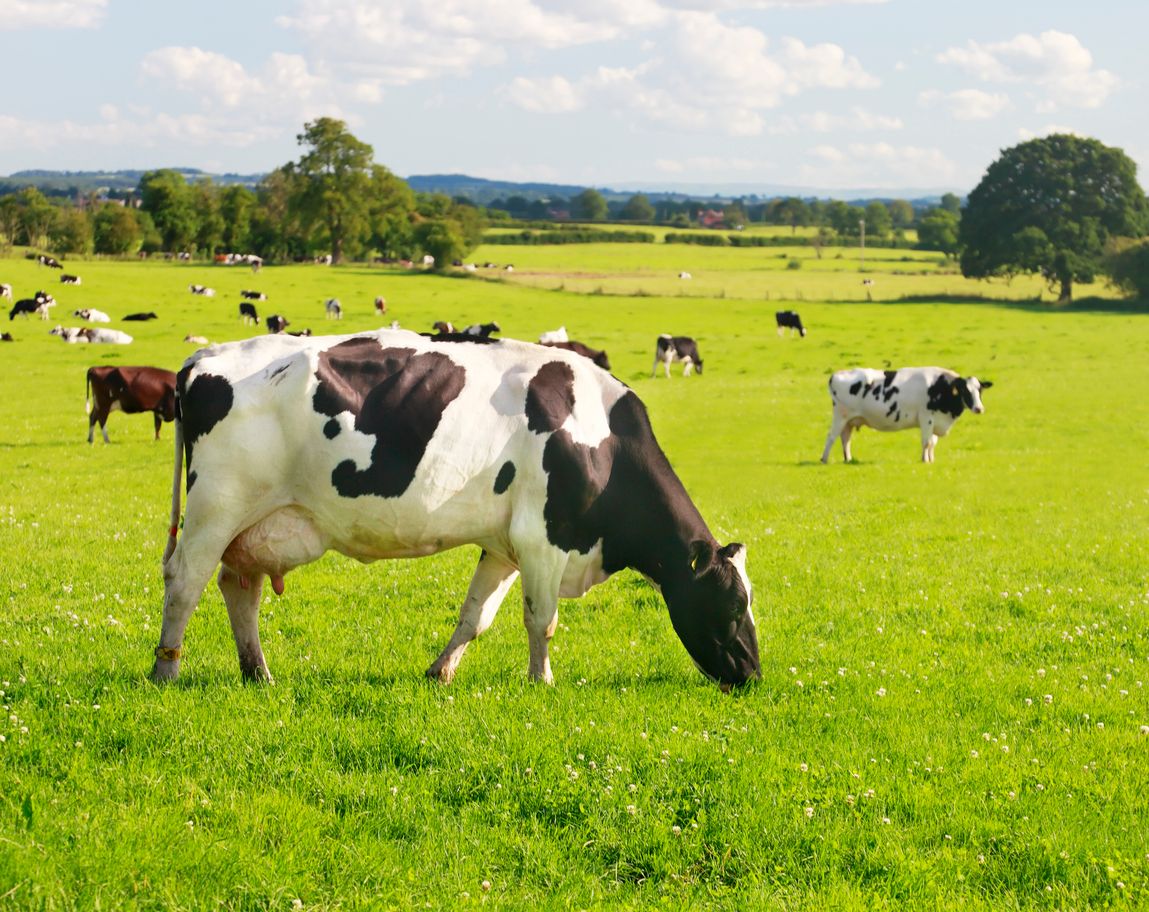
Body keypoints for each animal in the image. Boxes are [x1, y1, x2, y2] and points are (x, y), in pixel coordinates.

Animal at [151, 331, 759, 690]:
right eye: (731, 607)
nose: (753, 673)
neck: (598, 434)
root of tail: (204, 357)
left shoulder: (504, 546)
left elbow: (476, 616)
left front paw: (440, 672)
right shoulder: (544, 538)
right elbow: (542, 619)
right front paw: (542, 681)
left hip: (255, 523)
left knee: (238, 588)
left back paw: (258, 672)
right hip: (216, 508)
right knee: (185, 582)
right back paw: (166, 667)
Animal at [821, 367, 993, 464]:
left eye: (980, 390)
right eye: (965, 390)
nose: (979, 408)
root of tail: (836, 374)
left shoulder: (935, 421)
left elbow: (933, 442)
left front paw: (931, 459)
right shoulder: (926, 418)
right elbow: (926, 442)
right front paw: (925, 460)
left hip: (849, 420)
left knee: (845, 439)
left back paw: (848, 459)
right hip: (840, 416)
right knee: (831, 437)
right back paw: (824, 459)